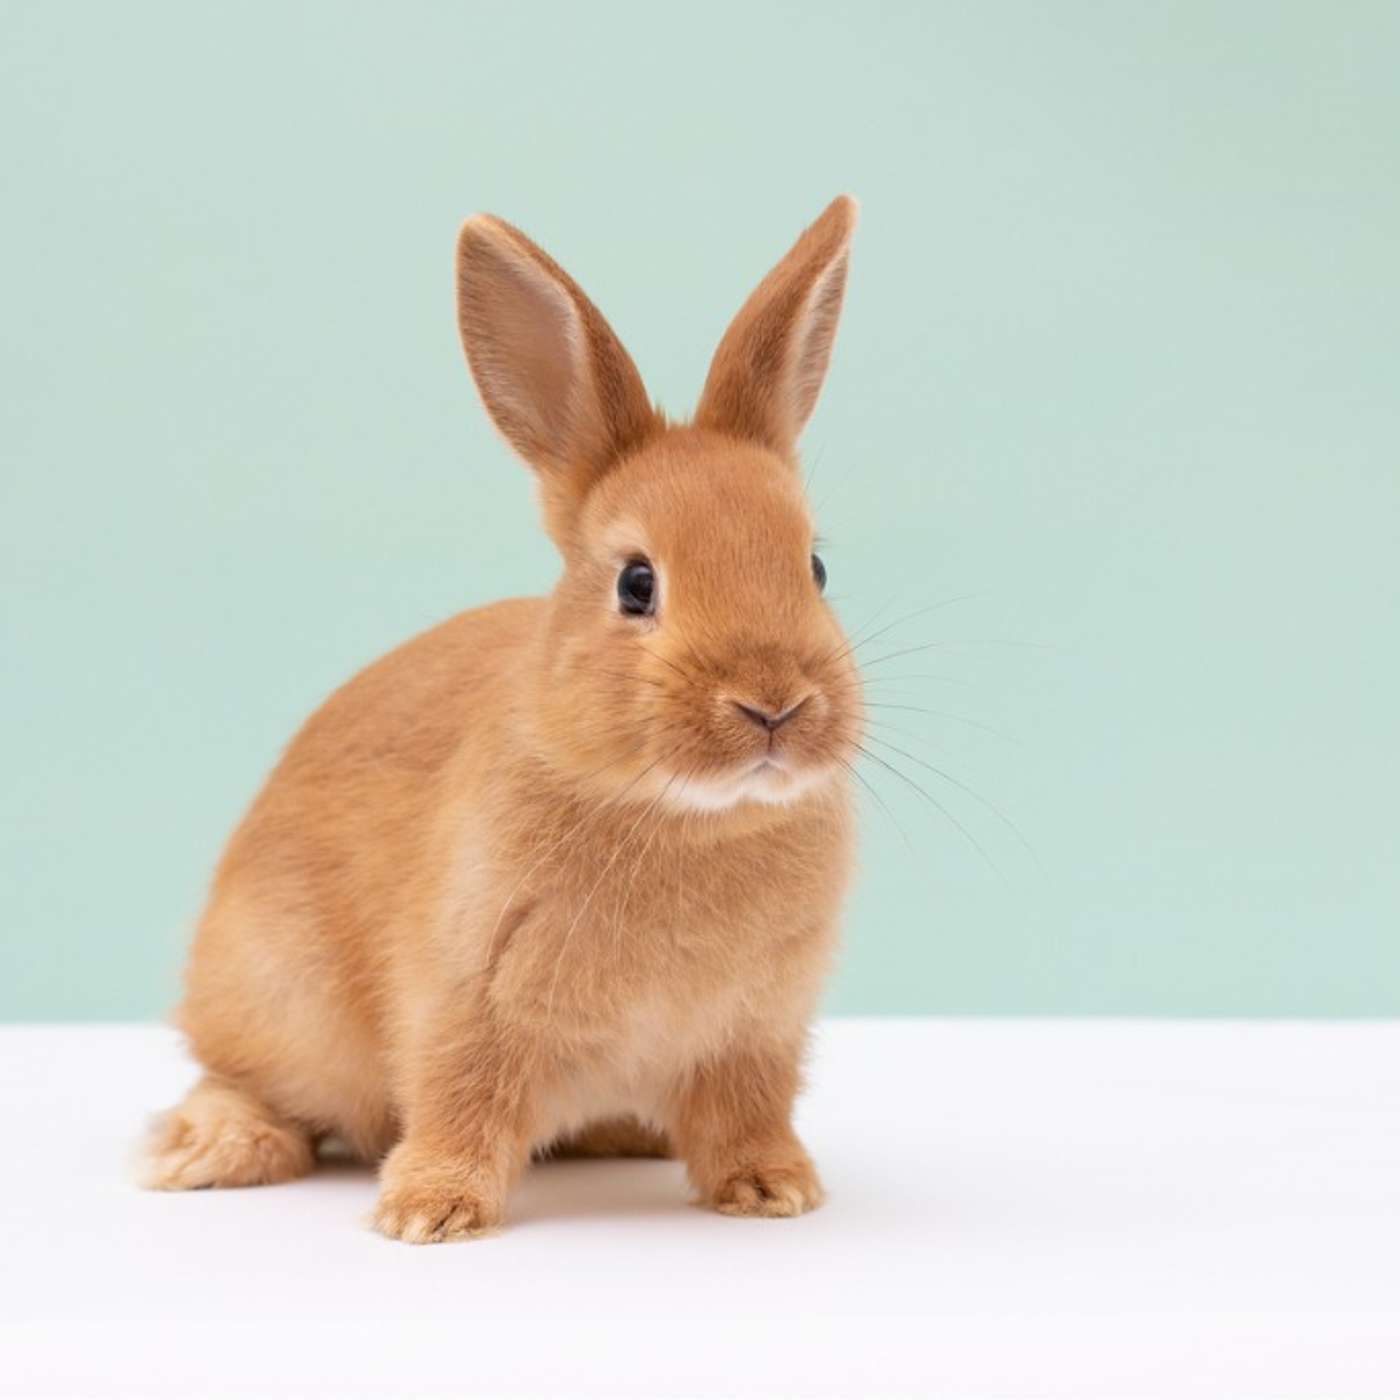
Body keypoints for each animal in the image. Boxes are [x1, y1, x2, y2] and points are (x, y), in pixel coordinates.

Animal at [141, 195, 865, 1242]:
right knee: (247, 1080)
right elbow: (459, 1100)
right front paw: (428, 1213)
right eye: (636, 583)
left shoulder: (754, 1034)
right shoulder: (465, 1000)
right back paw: (212, 1152)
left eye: (815, 567)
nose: (775, 703)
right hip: (275, 994)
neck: (687, 817)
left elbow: (747, 1112)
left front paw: (774, 1191)